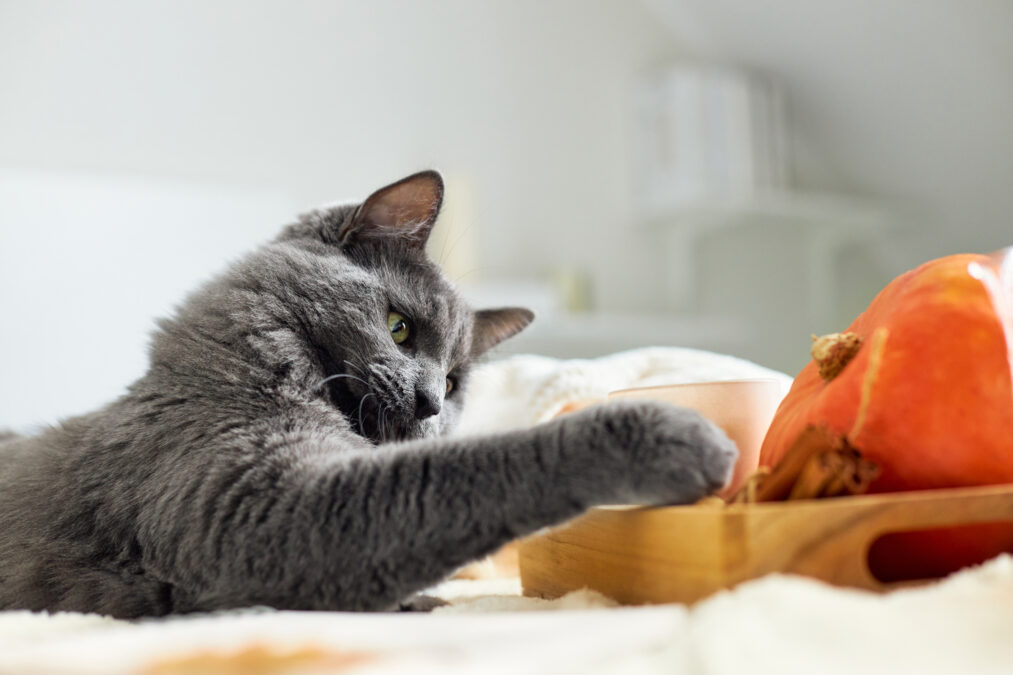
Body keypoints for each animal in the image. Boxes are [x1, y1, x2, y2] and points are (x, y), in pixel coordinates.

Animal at [0, 169, 733, 616]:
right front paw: (674, 433)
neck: (232, 373)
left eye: (455, 382)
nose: (431, 401)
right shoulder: (254, 504)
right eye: (399, 327)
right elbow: (461, 471)